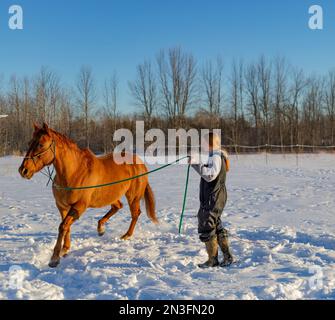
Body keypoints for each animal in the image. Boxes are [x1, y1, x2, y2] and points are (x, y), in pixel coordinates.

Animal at [19, 122, 158, 268]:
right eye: (29, 142)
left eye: (41, 144)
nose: (23, 170)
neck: (74, 172)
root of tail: (140, 163)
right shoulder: (62, 207)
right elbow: (66, 227)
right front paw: (65, 249)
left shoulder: (79, 206)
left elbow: (63, 226)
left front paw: (54, 259)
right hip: (110, 196)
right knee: (117, 206)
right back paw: (100, 229)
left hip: (133, 196)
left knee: (135, 213)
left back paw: (126, 235)